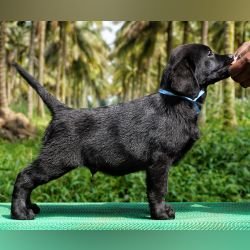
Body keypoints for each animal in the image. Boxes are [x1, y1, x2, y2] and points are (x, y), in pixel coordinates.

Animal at [10, 44, 233, 220]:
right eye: (210, 53)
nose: (232, 55)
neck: (178, 100)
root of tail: (62, 111)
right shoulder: (160, 162)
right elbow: (159, 190)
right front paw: (161, 213)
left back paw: (29, 207)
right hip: (56, 160)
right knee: (24, 177)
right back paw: (20, 213)